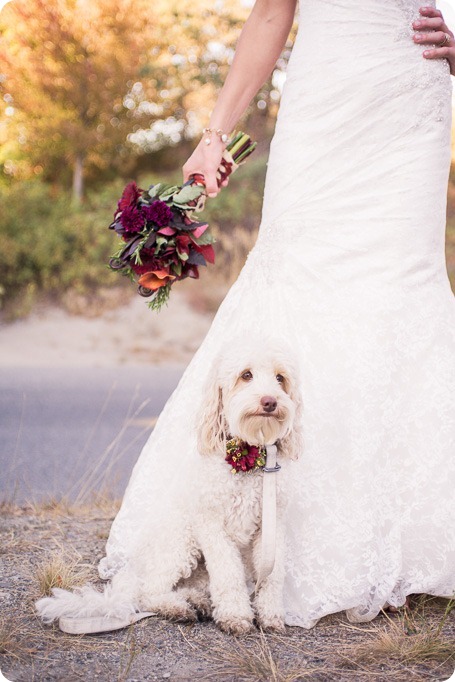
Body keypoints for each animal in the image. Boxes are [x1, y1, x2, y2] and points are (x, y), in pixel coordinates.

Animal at [37, 342, 304, 636]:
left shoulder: (272, 525)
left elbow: (272, 575)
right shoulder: (212, 526)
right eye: (246, 375)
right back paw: (177, 607)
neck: (250, 458)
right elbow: (228, 574)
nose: (270, 402)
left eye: (280, 378)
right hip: (181, 542)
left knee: (186, 587)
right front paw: (235, 616)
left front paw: (271, 615)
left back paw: (197, 601)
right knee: (149, 592)